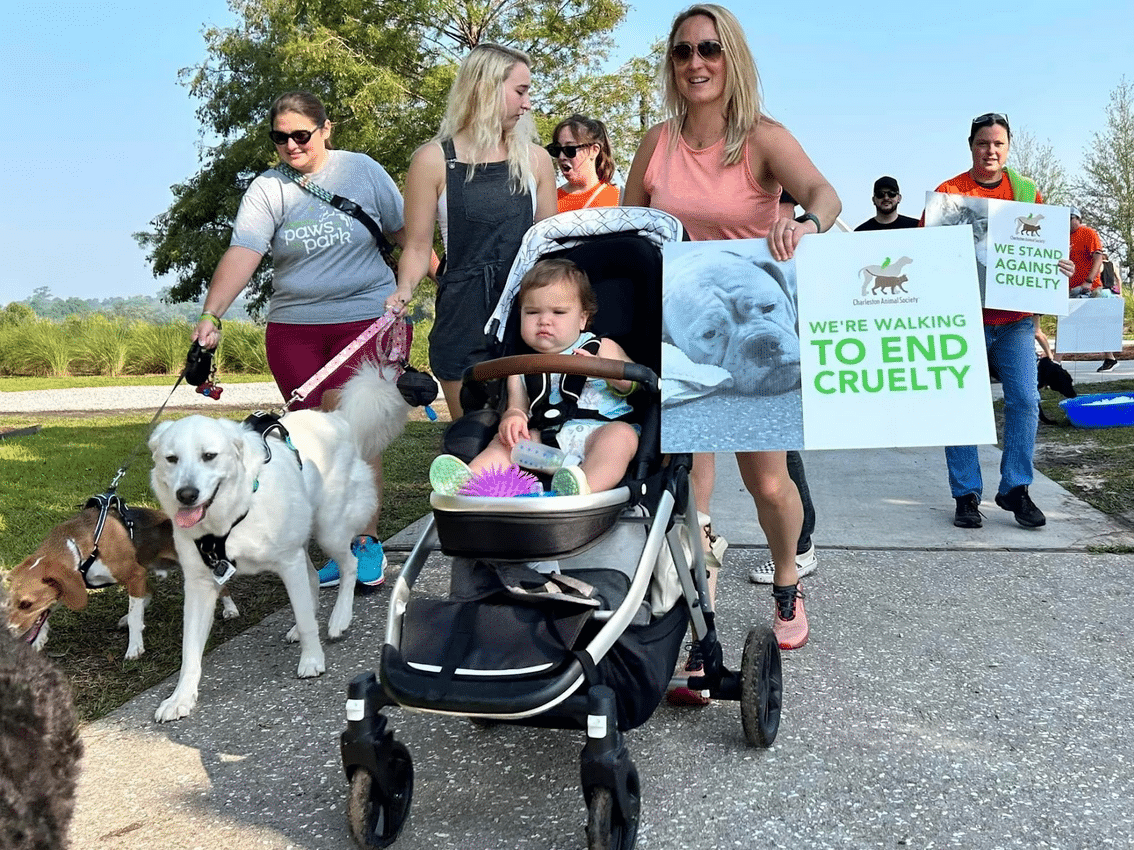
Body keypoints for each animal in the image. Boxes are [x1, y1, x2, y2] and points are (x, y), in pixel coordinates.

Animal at [5, 504, 238, 661]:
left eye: (26, 604)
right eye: (8, 604)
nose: (8, 634)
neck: (79, 547)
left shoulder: (134, 574)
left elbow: (136, 617)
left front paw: (134, 647)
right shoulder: (74, 586)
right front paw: (38, 639)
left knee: (222, 587)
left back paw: (230, 609)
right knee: (148, 593)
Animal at [148, 363, 407, 722]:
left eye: (209, 456)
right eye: (171, 459)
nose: (186, 495)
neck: (233, 515)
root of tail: (338, 420)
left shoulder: (288, 561)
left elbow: (306, 616)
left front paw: (312, 660)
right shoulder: (200, 584)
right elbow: (190, 652)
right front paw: (181, 698)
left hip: (329, 530)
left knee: (350, 565)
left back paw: (339, 619)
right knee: (313, 578)